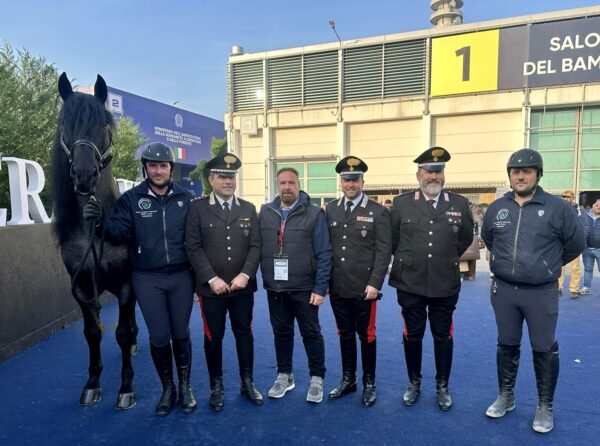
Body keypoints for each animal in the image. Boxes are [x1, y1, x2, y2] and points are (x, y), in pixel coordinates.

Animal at [51, 72, 137, 408]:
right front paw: (92, 384)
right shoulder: (82, 288)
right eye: (65, 125)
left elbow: (122, 333)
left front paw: (126, 389)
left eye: (102, 125)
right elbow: (92, 332)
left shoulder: (126, 284)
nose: (84, 176)